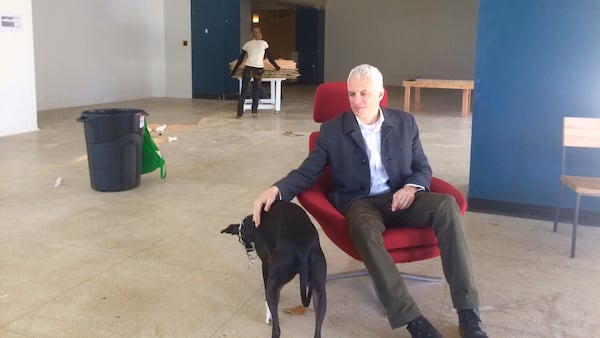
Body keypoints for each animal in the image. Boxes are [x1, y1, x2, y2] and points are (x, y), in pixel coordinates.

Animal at [220, 201, 326, 338]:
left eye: (241, 239)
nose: (248, 249)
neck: (252, 223)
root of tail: (302, 247)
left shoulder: (266, 264)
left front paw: (268, 315)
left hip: (274, 282)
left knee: (277, 329)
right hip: (319, 288)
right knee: (318, 329)